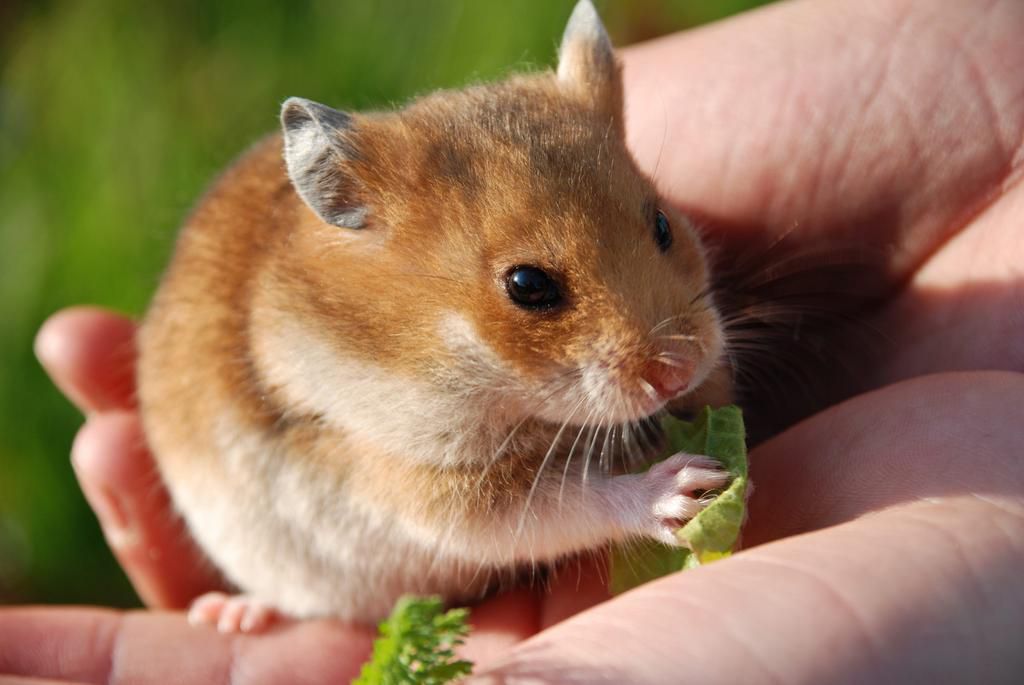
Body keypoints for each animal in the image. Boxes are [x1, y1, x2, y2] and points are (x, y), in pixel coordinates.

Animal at [137, 0, 732, 630]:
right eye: (528, 285)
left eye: (663, 225)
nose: (679, 371)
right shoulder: (433, 488)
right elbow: (569, 502)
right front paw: (690, 488)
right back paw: (230, 615)